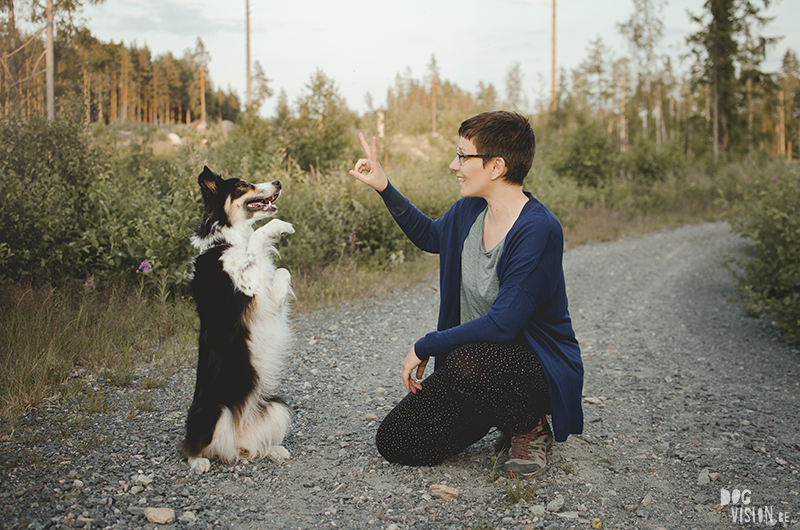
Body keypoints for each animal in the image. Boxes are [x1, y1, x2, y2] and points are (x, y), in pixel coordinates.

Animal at [177, 165, 296, 470]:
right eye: (243, 185)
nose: (278, 181)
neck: (226, 241)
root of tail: (236, 438)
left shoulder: (264, 299)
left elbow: (283, 272)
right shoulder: (246, 287)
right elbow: (257, 238)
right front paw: (280, 226)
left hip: (276, 405)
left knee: (253, 447)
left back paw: (273, 450)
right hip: (212, 412)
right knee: (190, 446)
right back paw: (198, 462)